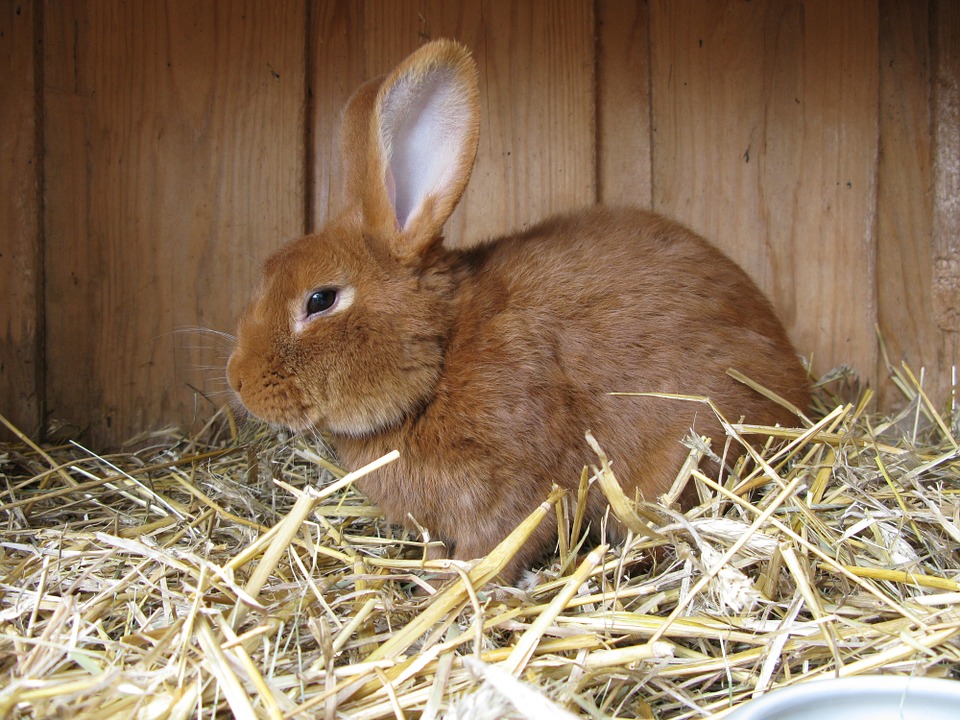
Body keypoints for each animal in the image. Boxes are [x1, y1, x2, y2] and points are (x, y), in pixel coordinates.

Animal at [227, 39, 808, 584]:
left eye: (320, 300)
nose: (238, 381)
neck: (444, 353)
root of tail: (799, 392)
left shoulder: (515, 485)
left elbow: (500, 542)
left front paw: (452, 586)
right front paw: (431, 570)